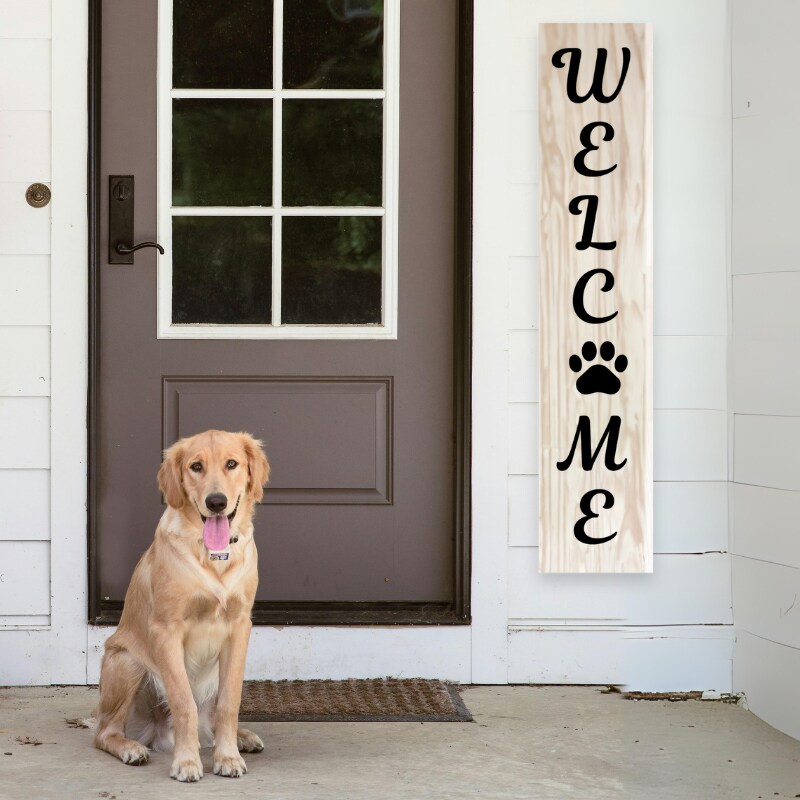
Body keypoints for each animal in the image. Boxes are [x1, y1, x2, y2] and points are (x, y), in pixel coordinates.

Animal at [93, 432, 268, 780]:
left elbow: (230, 702)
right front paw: (186, 762)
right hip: (127, 662)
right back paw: (132, 748)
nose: (216, 502)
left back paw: (241, 737)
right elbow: (184, 702)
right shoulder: (167, 629)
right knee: (105, 732)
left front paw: (227, 757)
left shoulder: (240, 625)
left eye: (232, 464)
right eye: (196, 466)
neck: (213, 556)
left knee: (211, 721)